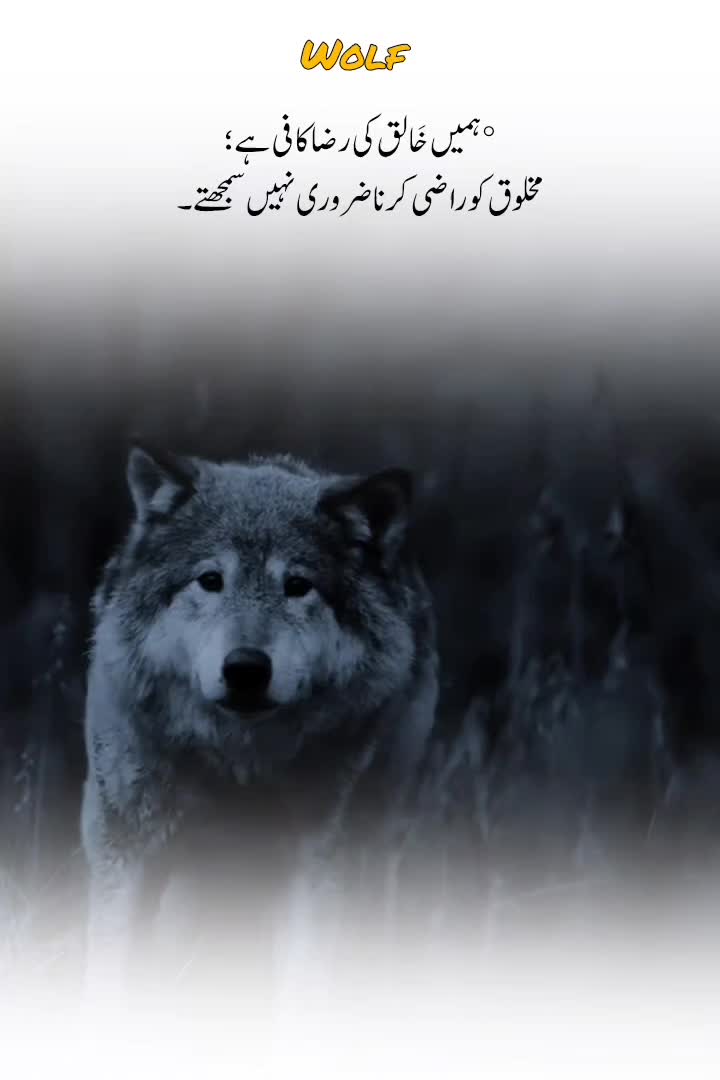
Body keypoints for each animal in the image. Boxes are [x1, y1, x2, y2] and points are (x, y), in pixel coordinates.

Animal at [81, 446, 438, 991]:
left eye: (297, 586)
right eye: (210, 580)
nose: (245, 667)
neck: (236, 767)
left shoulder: (317, 865)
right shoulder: (125, 847)